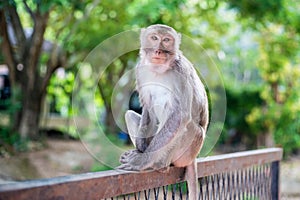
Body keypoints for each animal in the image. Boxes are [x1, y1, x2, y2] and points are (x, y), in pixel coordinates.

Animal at [118, 24, 209, 199]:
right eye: (154, 38)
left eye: (166, 40)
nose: (158, 51)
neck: (158, 70)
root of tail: (194, 158)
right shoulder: (140, 69)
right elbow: (148, 108)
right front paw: (140, 150)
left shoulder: (181, 72)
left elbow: (180, 116)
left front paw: (141, 161)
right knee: (130, 114)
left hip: (189, 150)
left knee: (184, 123)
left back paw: (160, 164)